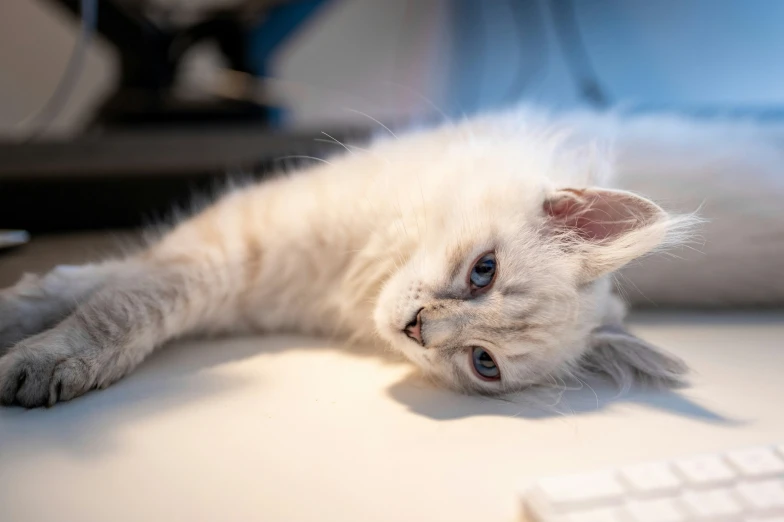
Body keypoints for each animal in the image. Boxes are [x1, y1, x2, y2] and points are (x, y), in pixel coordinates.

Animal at [0, 106, 696, 406]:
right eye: (484, 271)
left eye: (484, 363)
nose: (417, 328)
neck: (349, 275)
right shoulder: (230, 241)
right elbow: (111, 300)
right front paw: (35, 339)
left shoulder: (233, 280)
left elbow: (122, 299)